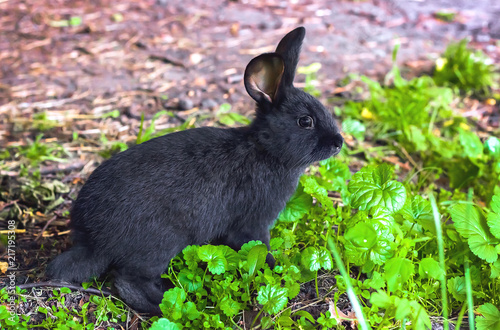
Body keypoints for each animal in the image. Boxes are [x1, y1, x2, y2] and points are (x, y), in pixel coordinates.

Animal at [47, 27, 344, 314]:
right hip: (162, 243)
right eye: (305, 121)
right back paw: (166, 303)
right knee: (129, 280)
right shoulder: (254, 223)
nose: (338, 142)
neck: (265, 150)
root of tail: (93, 240)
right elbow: (258, 247)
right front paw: (274, 265)